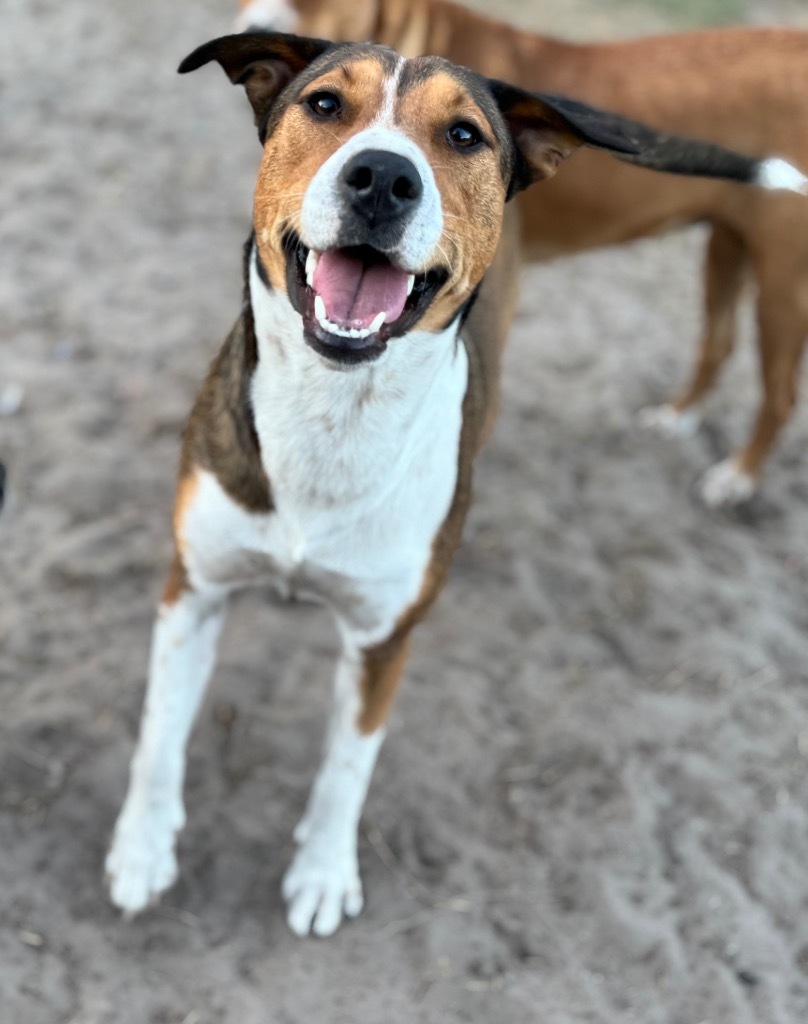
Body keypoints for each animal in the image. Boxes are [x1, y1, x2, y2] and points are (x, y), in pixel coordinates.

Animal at [236, 0, 806, 503]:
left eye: (463, 134)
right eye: (325, 103)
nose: (381, 178)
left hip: (783, 279)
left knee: (780, 395)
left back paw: (737, 477)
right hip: (728, 245)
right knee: (719, 343)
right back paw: (678, 416)